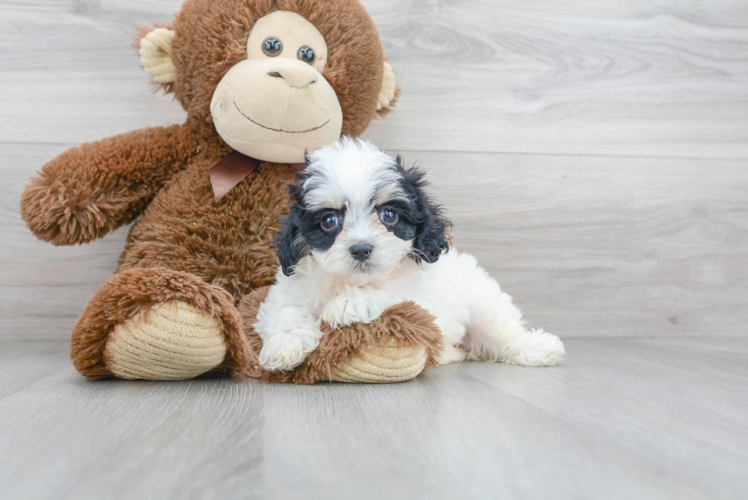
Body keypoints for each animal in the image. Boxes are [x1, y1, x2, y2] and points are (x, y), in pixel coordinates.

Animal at [254, 137, 564, 372]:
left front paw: (350, 304)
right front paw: (285, 346)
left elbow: (396, 293)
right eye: (329, 221)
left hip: (483, 306)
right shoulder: (289, 288)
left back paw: (538, 348)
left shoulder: (423, 300)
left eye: (389, 215)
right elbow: (286, 312)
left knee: (503, 333)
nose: (361, 249)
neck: (349, 282)